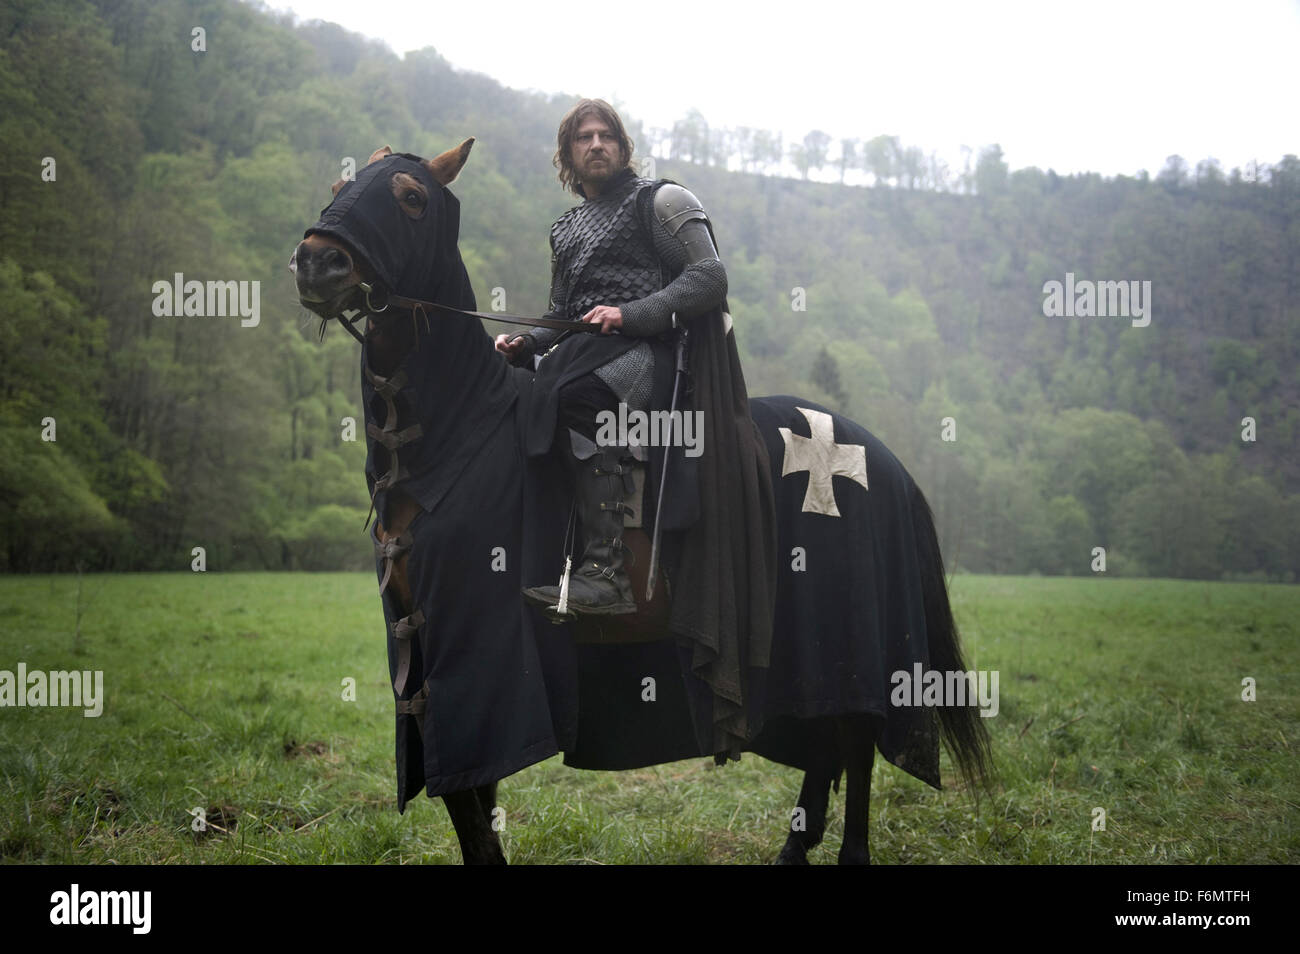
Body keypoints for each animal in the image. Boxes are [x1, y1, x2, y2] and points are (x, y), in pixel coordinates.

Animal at [292, 140, 982, 868]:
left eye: (411, 197)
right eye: (338, 186)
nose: (316, 260)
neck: (460, 436)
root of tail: (881, 456)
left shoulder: (475, 662)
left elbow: (472, 808)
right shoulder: (420, 655)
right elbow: (476, 806)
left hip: (853, 647)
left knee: (854, 742)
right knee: (826, 742)